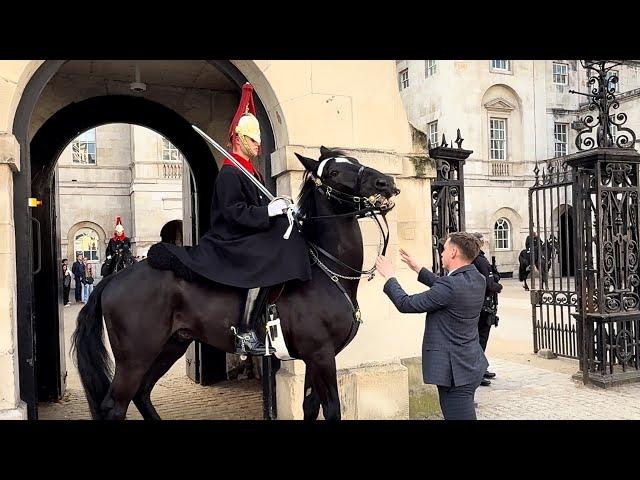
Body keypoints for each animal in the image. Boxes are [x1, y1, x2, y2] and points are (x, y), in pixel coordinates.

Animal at [71, 147, 400, 420]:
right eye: (333, 173)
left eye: (354, 160)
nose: (386, 183)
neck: (329, 273)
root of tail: (112, 278)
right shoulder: (321, 354)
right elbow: (331, 410)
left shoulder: (313, 358)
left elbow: (309, 406)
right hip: (134, 356)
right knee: (115, 406)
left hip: (171, 345)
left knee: (141, 393)